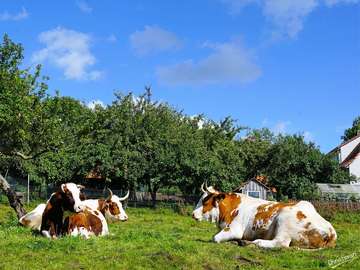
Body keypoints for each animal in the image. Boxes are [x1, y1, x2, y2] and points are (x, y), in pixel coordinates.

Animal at [193, 184, 336, 249]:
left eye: (205, 202)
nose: (192, 214)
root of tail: (330, 231)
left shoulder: (235, 229)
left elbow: (215, 238)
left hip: (284, 220)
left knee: (281, 243)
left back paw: (253, 242)